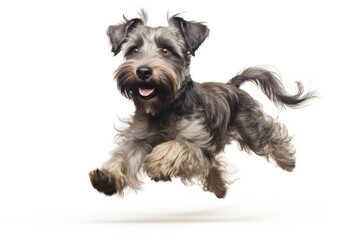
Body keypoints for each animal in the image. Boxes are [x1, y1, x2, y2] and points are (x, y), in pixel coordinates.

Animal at [88, 10, 316, 198]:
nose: (143, 71)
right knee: (213, 166)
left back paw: (288, 162)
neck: (164, 108)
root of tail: (233, 85)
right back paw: (219, 189)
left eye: (166, 50)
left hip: (252, 130)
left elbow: (177, 145)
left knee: (273, 135)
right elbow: (125, 156)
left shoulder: (199, 144)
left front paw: (157, 162)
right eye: (134, 50)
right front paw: (108, 176)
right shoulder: (139, 139)